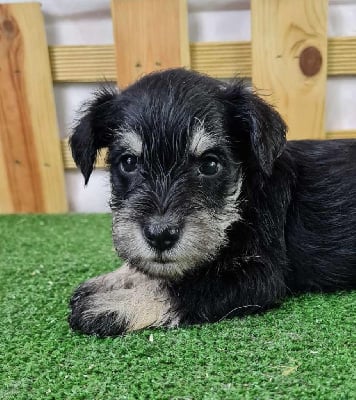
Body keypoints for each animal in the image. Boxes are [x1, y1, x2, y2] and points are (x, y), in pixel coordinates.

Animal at [68, 69, 354, 338]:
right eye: (128, 162)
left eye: (209, 164)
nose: (160, 236)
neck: (243, 200)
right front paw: (112, 279)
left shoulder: (258, 276)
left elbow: (183, 288)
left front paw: (110, 304)